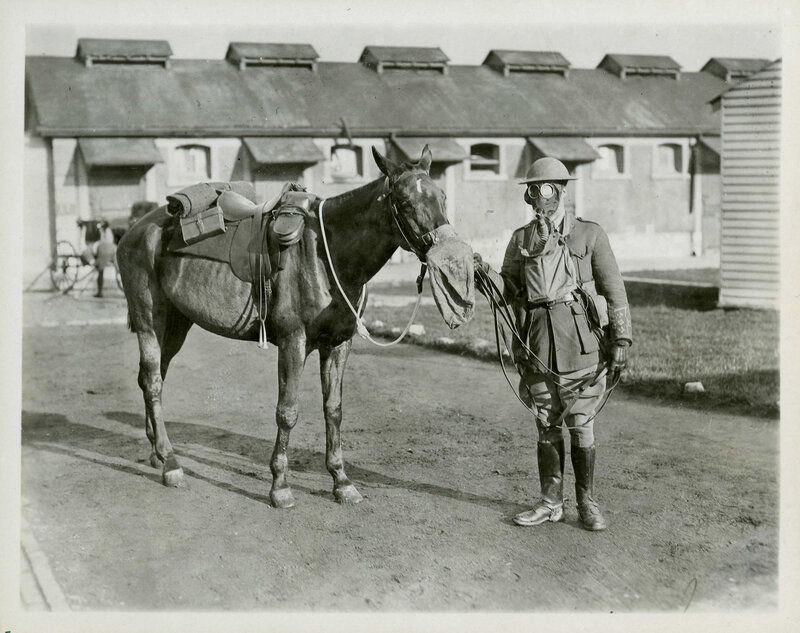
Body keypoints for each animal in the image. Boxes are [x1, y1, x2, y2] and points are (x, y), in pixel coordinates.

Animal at [116, 146, 475, 508]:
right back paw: (171, 464)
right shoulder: (293, 342)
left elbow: (333, 410)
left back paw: (157, 453)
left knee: (152, 378)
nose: (452, 253)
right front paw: (280, 486)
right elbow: (287, 411)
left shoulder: (338, 344)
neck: (328, 255)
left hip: (176, 325)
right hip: (150, 321)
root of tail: (134, 231)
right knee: (153, 382)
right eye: (403, 201)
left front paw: (341, 481)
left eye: (442, 196)